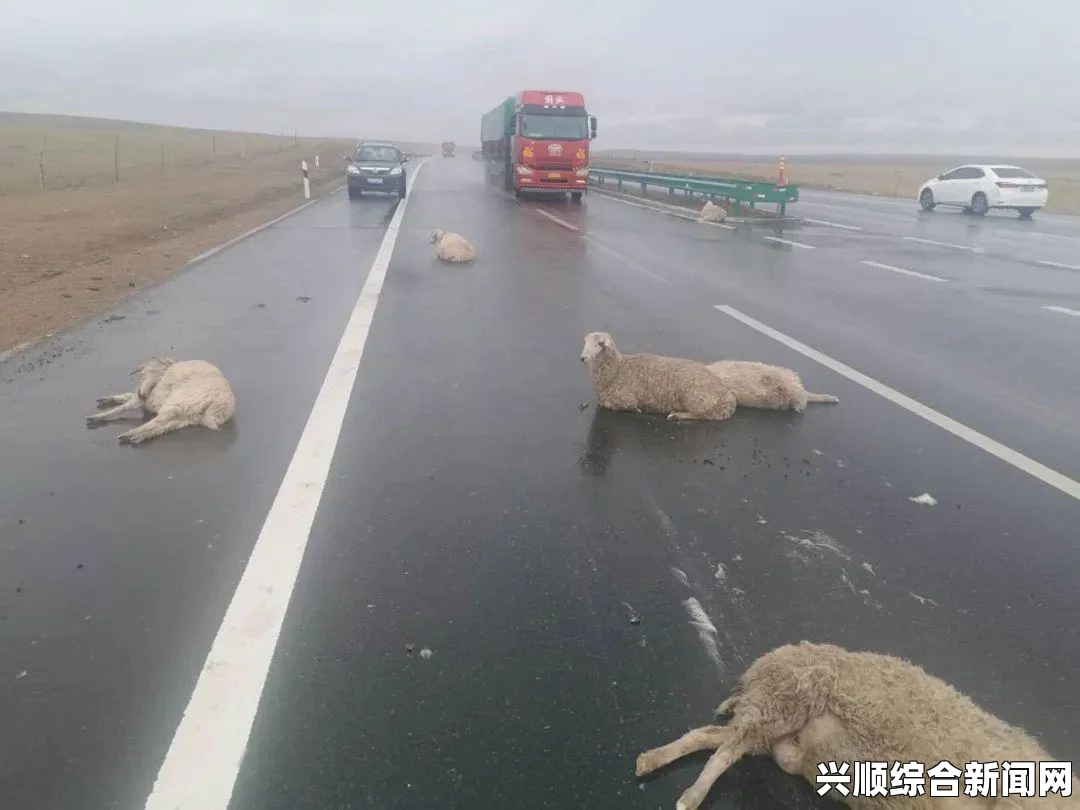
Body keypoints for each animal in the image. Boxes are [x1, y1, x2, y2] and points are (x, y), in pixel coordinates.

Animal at [85, 354, 235, 444]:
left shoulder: (145, 398)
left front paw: (97, 416)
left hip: (177, 404)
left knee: (156, 422)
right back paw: (139, 436)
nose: (142, 394)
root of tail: (221, 402)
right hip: (188, 415)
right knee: (164, 426)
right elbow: (127, 396)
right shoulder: (145, 398)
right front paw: (105, 399)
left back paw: (130, 434)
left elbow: (121, 408)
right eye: (143, 374)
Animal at [578, 332, 738, 427]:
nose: (582, 358)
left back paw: (676, 415)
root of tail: (728, 396)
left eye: (600, 344)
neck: (618, 370)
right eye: (585, 342)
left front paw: (638, 409)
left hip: (695, 398)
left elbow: (619, 405)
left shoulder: (626, 399)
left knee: (702, 414)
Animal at [635, 643, 1075, 807]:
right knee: (725, 750)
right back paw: (690, 796)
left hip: (771, 720)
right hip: (789, 699)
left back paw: (652, 760)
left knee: (713, 737)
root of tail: (765, 664)